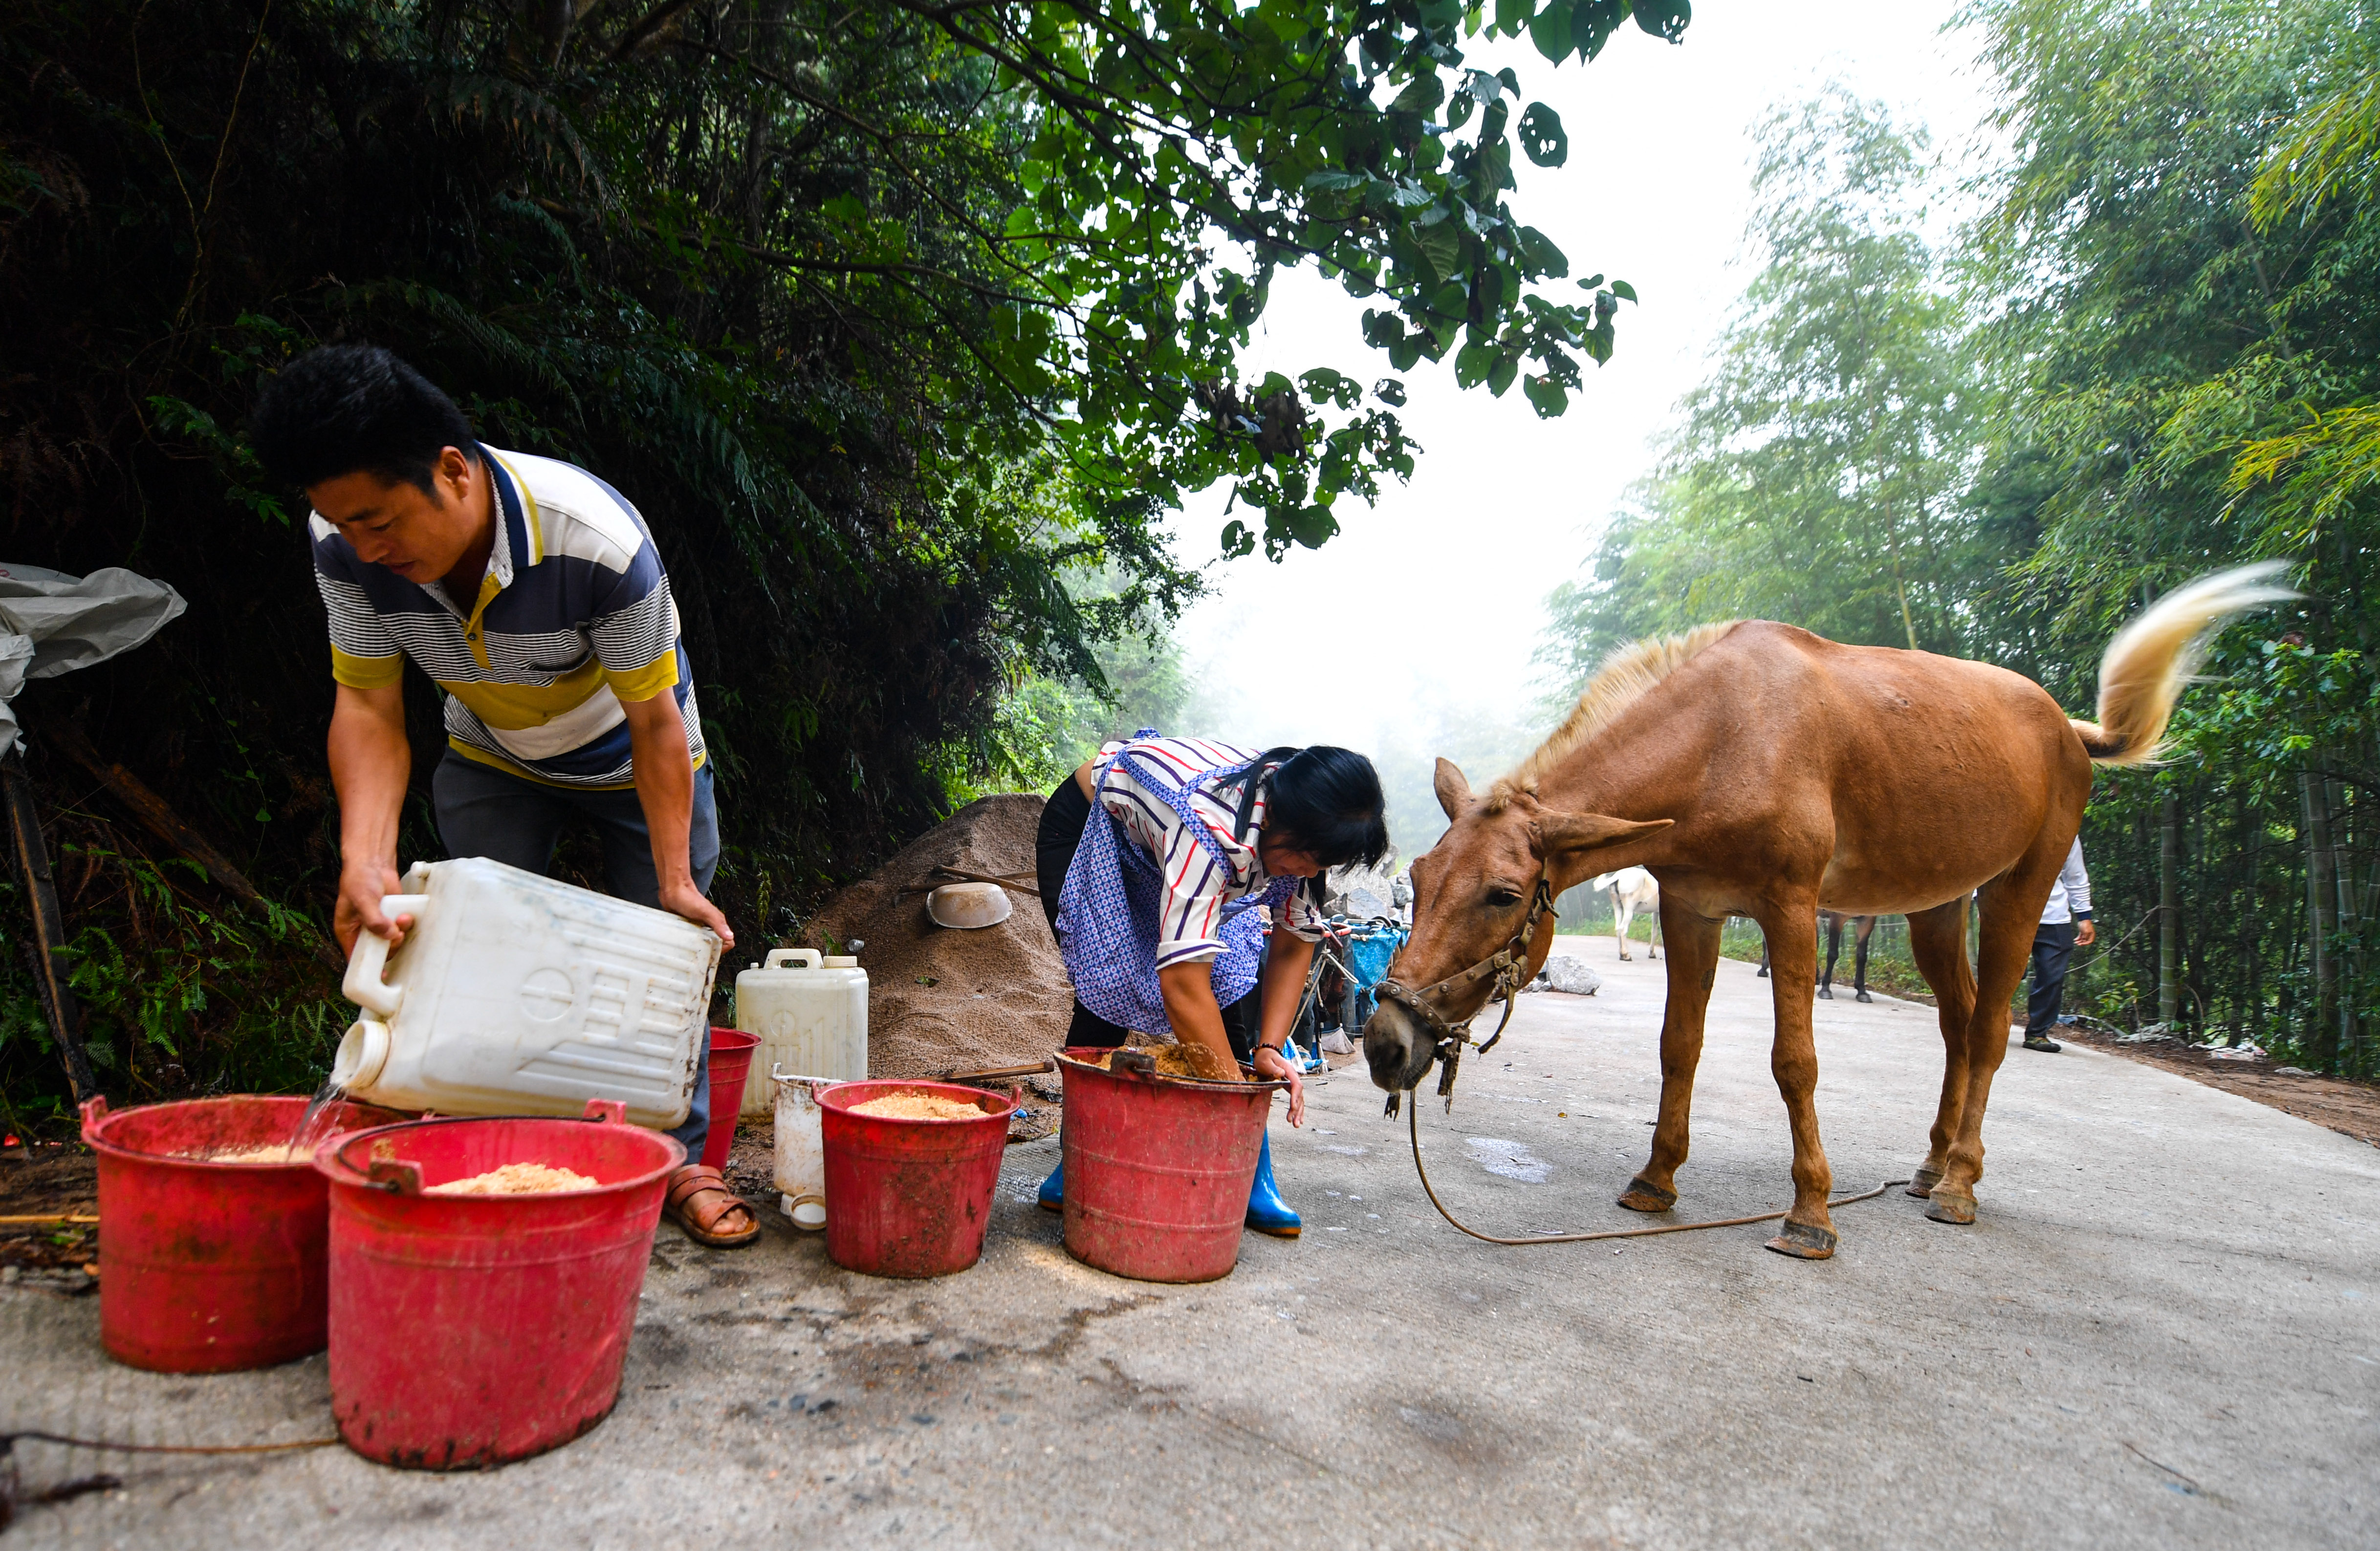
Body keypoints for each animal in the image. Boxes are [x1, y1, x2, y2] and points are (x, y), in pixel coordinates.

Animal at [1590, 865, 1666, 961]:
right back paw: (1626, 955)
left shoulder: (1656, 912)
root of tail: (1617, 877)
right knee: (1623, 928)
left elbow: (1654, 932)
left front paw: (1652, 954)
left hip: (1618, 906)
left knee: (1618, 928)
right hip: (1629, 909)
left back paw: (1621, 955)